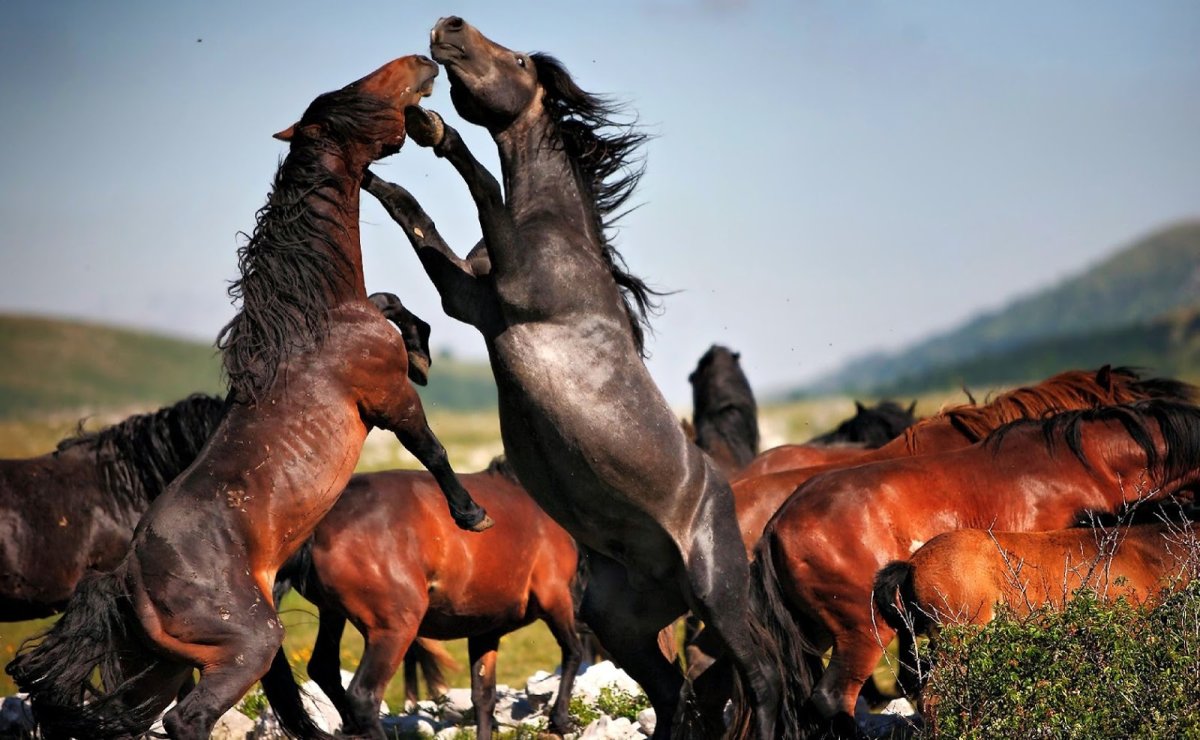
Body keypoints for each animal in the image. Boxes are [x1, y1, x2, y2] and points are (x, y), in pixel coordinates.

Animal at [260, 457, 582, 739]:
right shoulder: (555, 597)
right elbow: (573, 652)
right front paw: (560, 720)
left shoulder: (484, 629)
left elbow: (484, 697)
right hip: (394, 629)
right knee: (363, 696)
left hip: (333, 613)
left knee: (324, 668)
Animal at [361, 17, 780, 738]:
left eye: (520, 60)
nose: (448, 26)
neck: (556, 230)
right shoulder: (471, 301)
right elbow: (411, 213)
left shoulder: (513, 289)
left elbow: (482, 186)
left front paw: (436, 131)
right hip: (624, 622)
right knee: (673, 693)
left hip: (717, 600)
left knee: (761, 680)